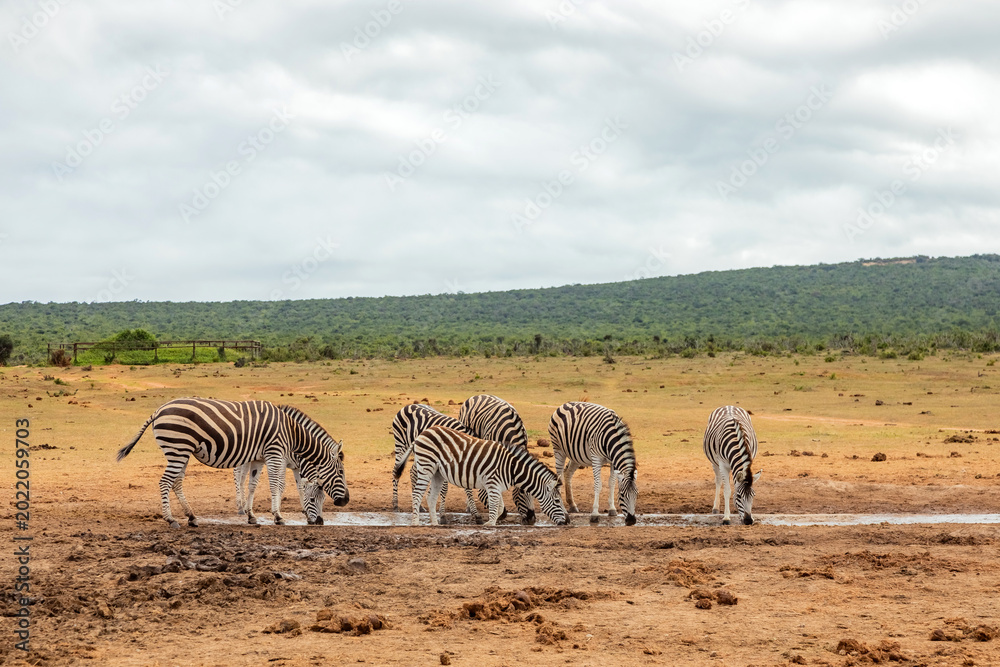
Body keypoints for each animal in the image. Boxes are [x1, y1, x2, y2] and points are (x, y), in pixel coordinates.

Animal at [116, 398, 349, 527]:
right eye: (341, 472)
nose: (345, 501)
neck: (292, 435)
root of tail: (158, 410)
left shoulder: (259, 458)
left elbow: (254, 485)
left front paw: (252, 516)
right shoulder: (276, 455)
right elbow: (278, 485)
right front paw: (278, 516)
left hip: (181, 451)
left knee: (176, 482)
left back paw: (191, 517)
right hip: (178, 448)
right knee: (165, 482)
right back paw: (171, 519)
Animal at [410, 425, 568, 527]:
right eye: (557, 501)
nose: (568, 521)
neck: (511, 468)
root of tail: (424, 432)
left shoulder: (497, 487)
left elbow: (499, 507)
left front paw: (491, 521)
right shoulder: (493, 484)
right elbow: (494, 507)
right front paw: (490, 524)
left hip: (437, 473)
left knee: (430, 497)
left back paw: (434, 523)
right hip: (426, 467)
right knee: (417, 494)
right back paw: (415, 522)